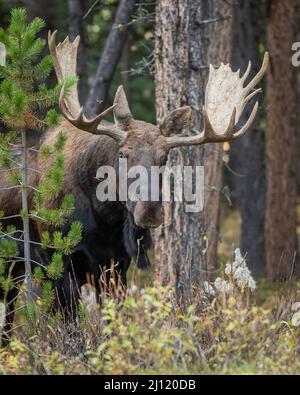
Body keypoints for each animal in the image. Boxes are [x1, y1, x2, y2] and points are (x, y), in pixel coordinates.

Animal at [0, 31, 270, 344]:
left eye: (164, 157)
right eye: (123, 153)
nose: (149, 210)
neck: (105, 220)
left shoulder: (116, 266)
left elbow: (113, 325)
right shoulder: (57, 262)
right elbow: (70, 327)